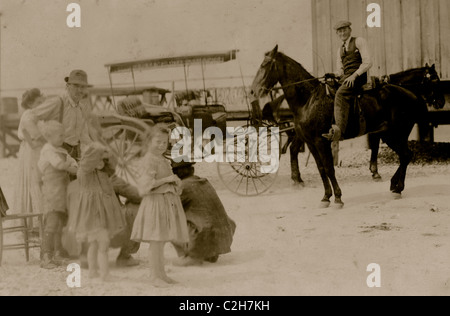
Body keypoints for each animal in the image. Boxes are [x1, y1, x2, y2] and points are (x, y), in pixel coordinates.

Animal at [251, 45, 428, 207]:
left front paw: (337, 197)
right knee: (405, 156)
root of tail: (412, 94)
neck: (309, 100)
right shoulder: (311, 143)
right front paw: (325, 197)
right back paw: (395, 186)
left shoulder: (321, 141)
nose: (253, 90)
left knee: (406, 155)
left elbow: (329, 168)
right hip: (389, 135)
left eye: (265, 65)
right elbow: (321, 168)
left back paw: (397, 188)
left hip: (396, 134)